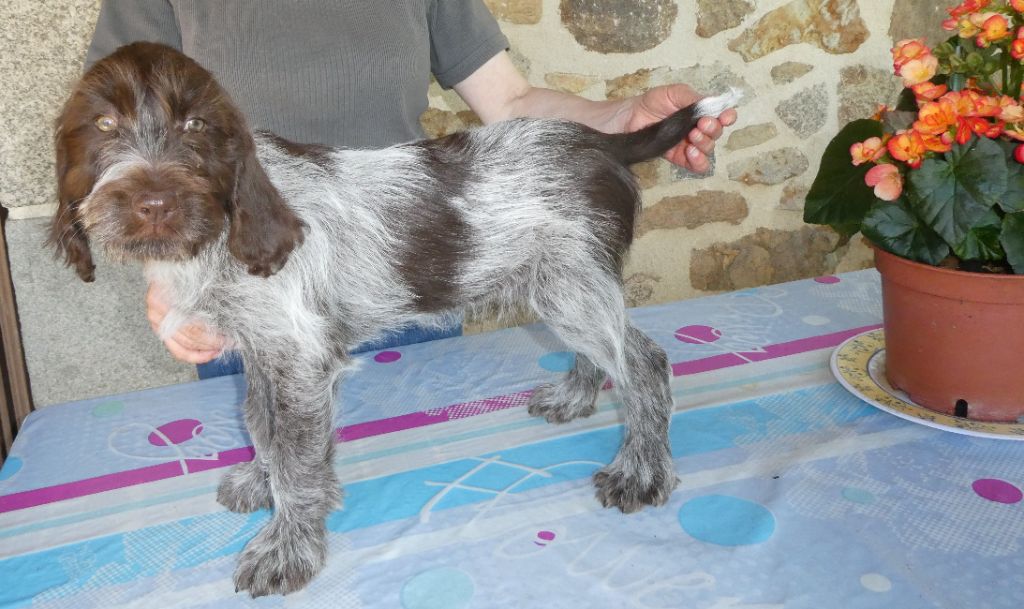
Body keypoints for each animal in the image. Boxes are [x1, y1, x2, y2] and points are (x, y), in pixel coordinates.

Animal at [50, 42, 741, 596]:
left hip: (569, 288)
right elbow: (263, 428)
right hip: (563, 287)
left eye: (195, 124)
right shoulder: (268, 354)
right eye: (103, 124)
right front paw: (262, 483)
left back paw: (641, 471)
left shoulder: (300, 357)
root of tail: (598, 140)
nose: (154, 204)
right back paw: (575, 396)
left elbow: (295, 458)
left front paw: (289, 547)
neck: (221, 232)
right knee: (604, 352)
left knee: (644, 363)